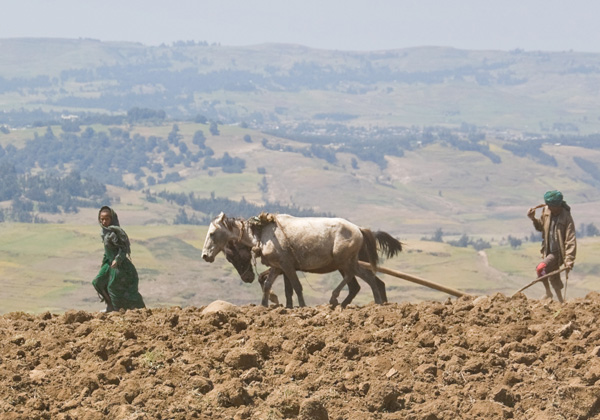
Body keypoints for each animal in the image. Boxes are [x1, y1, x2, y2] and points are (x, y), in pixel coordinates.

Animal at [202, 212, 404, 306]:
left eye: (212, 234)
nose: (205, 256)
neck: (262, 234)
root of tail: (359, 229)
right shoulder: (278, 267)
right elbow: (267, 285)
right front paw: (265, 305)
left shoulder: (287, 266)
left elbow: (296, 288)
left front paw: (301, 306)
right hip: (348, 262)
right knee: (364, 280)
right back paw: (371, 303)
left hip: (343, 261)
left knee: (358, 279)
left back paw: (336, 299)